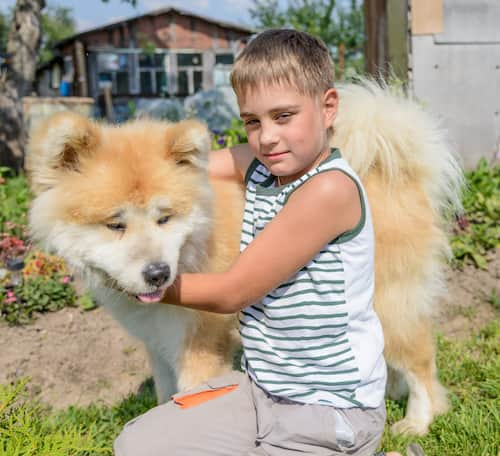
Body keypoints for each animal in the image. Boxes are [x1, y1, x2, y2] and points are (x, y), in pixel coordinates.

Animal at [25, 80, 462, 436]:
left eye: (164, 218)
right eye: (115, 225)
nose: (157, 274)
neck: (195, 245)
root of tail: (394, 169)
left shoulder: (200, 345)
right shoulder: (159, 343)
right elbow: (165, 396)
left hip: (387, 300)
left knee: (421, 360)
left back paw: (417, 420)